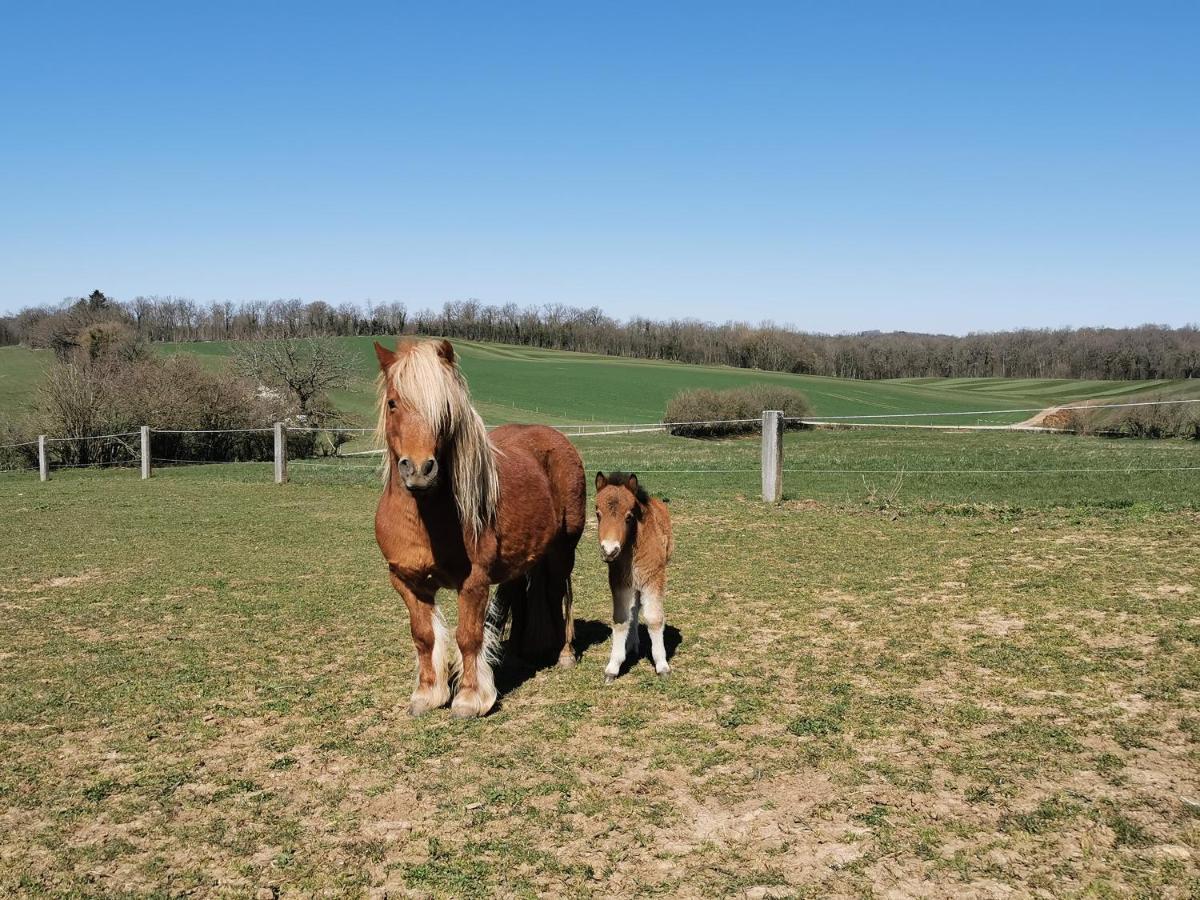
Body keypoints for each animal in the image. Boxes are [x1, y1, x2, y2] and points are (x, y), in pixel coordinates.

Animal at [372, 338, 583, 720]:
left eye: (444, 410)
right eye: (393, 403)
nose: (420, 470)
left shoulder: (473, 582)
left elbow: (468, 637)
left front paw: (470, 699)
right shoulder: (406, 581)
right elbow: (423, 636)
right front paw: (427, 694)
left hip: (563, 551)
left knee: (558, 594)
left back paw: (564, 654)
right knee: (519, 594)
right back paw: (517, 652)